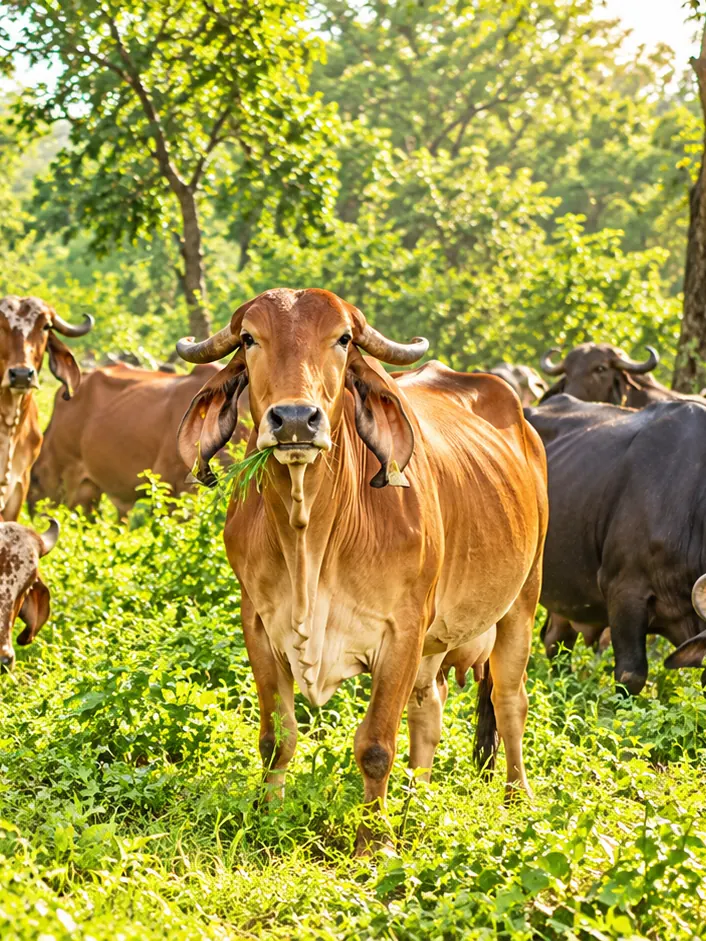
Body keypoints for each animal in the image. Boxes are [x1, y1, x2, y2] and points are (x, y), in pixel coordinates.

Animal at [176, 288, 548, 854]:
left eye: (343, 338)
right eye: (249, 339)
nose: (295, 420)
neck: (310, 538)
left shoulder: (402, 632)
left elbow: (375, 746)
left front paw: (375, 843)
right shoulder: (258, 625)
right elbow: (276, 738)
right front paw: (268, 817)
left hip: (523, 600)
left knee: (509, 702)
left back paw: (516, 797)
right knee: (428, 710)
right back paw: (418, 804)